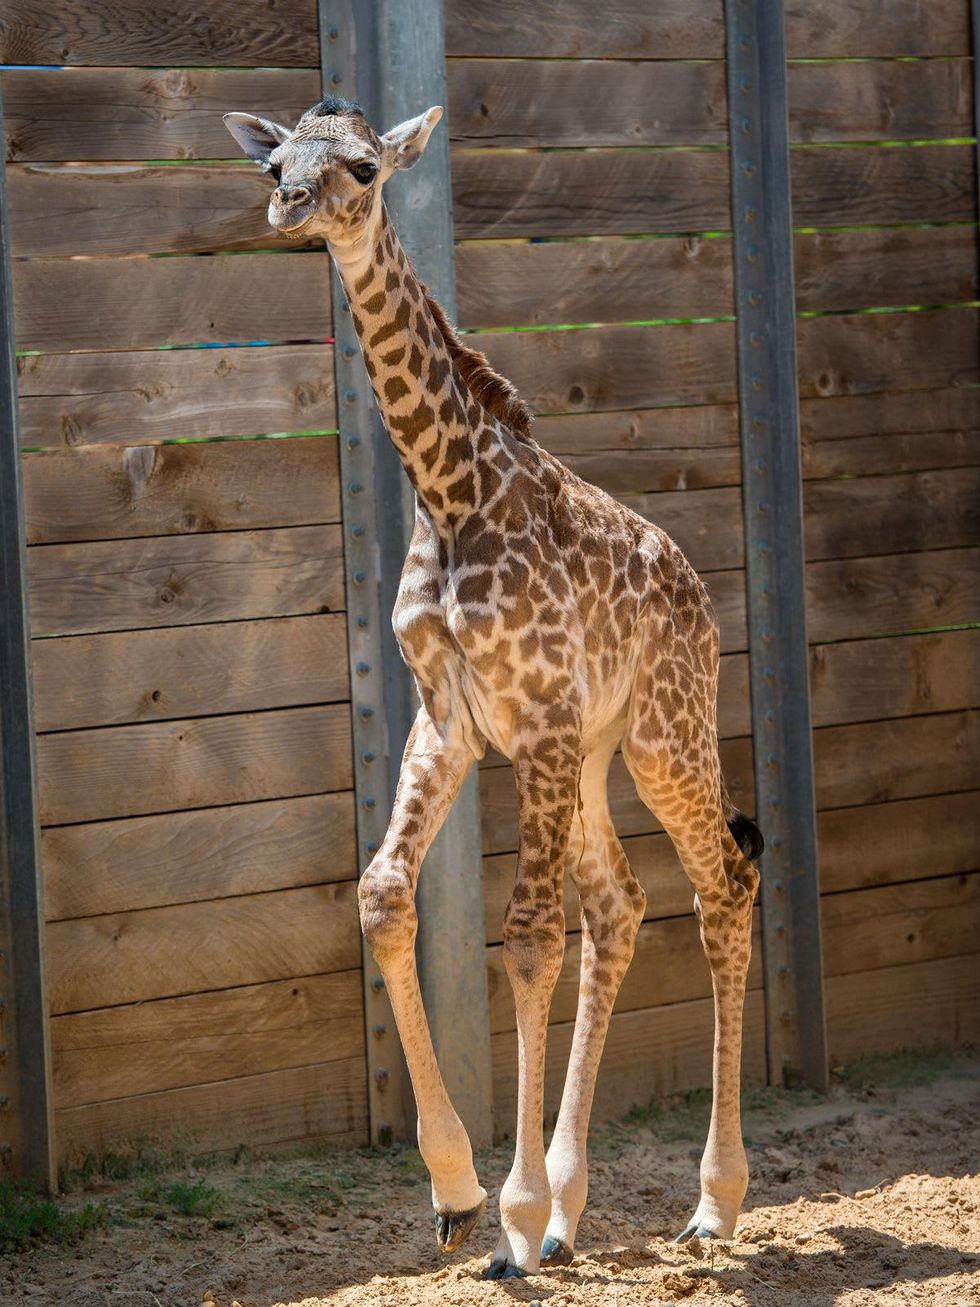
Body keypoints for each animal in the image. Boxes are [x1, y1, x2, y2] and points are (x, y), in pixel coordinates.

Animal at [224, 97, 764, 1280]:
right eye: (277, 163)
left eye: (364, 168)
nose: (290, 207)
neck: (451, 487)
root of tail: (697, 587)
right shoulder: (456, 719)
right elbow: (384, 893)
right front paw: (461, 1192)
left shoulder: (542, 718)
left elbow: (524, 936)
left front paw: (509, 1218)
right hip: (597, 755)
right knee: (622, 904)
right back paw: (571, 1212)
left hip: (661, 735)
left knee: (723, 884)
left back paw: (709, 1204)